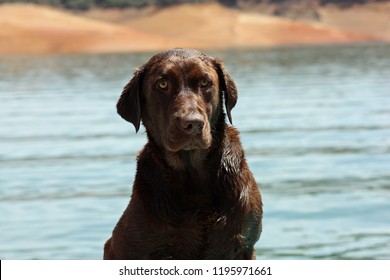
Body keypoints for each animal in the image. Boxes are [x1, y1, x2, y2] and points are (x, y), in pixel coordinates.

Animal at [103, 48, 262, 260]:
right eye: (162, 84)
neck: (192, 175)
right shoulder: (122, 247)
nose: (192, 123)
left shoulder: (245, 245)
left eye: (205, 83)